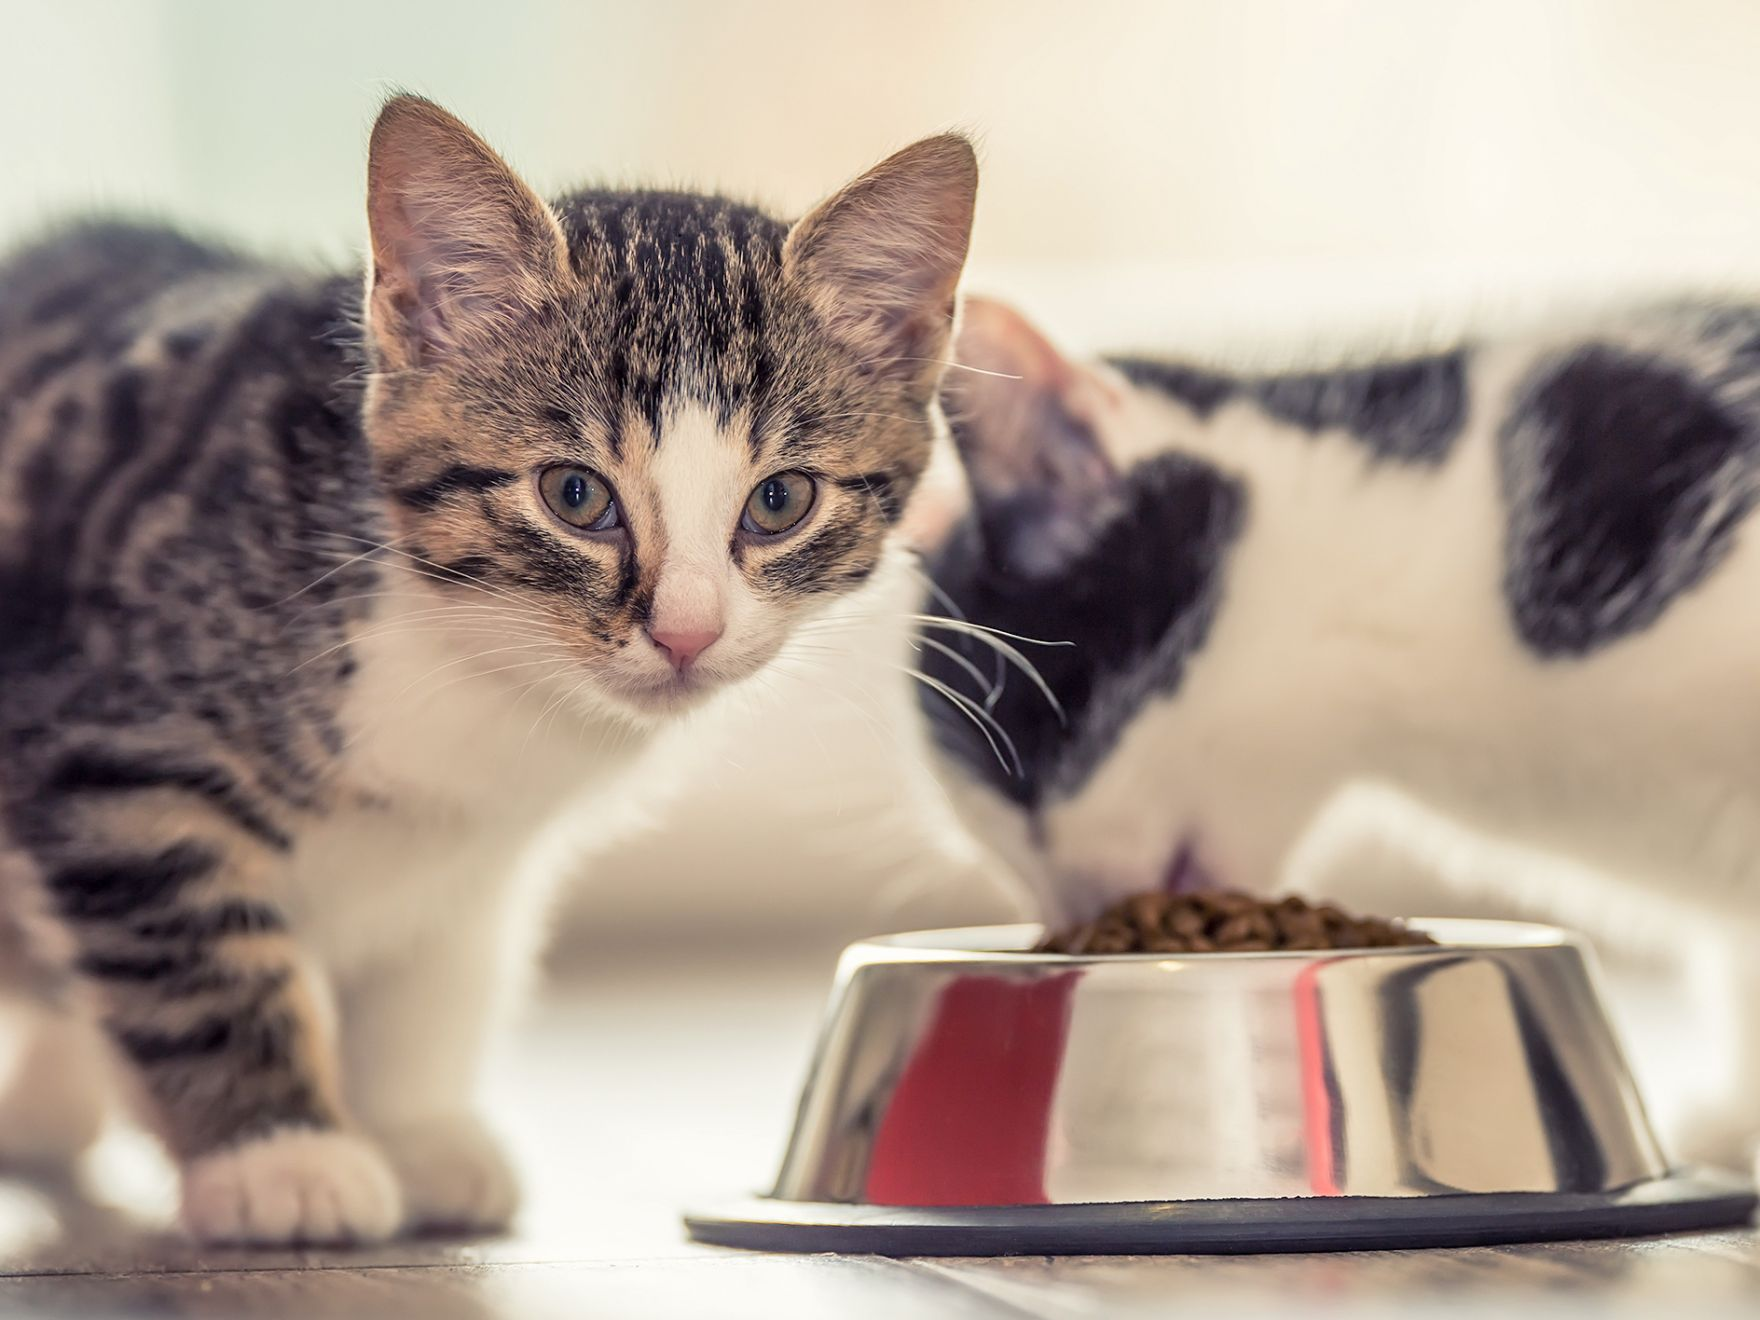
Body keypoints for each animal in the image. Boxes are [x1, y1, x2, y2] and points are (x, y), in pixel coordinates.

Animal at [0, 98, 978, 1246]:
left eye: (779, 501)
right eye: (573, 494)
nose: (686, 631)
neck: (477, 656)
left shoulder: (477, 856)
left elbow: (436, 979)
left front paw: (415, 1133)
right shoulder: (114, 747)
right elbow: (191, 955)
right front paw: (279, 1155)